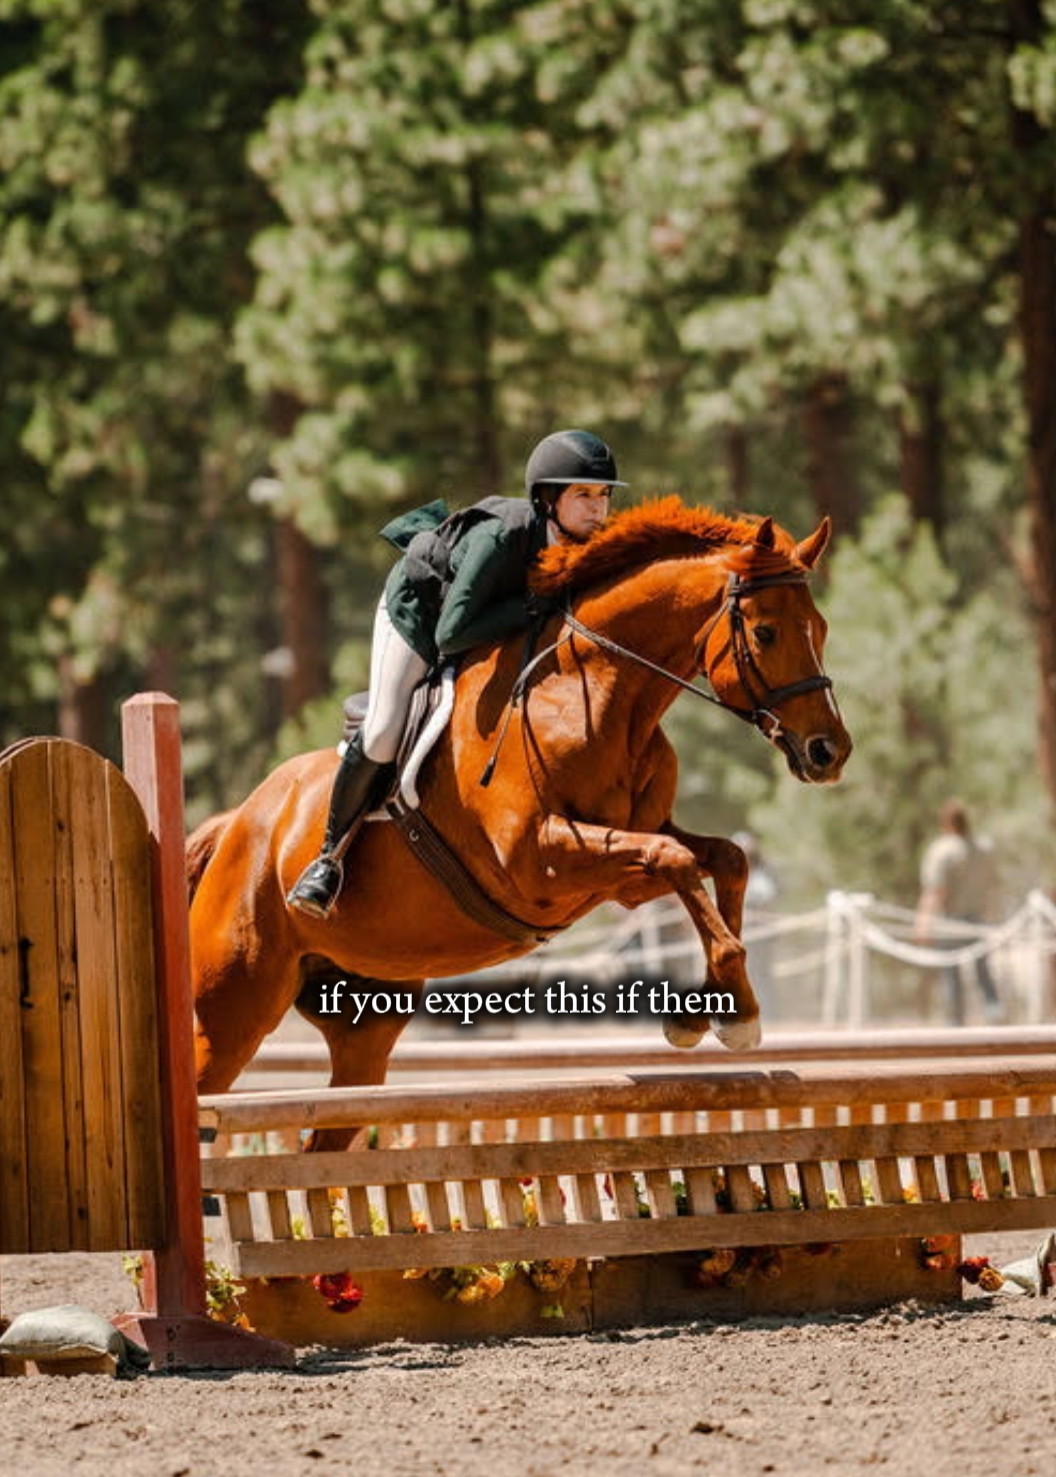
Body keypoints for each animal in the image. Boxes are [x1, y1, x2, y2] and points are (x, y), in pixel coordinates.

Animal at [188, 497, 851, 1147]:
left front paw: (715, 1011)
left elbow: (721, 860)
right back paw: (316, 883)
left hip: (364, 1022)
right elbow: (679, 860)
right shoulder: (540, 862)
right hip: (229, 1011)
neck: (596, 693)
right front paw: (731, 1014)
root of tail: (238, 824)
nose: (829, 752)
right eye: (765, 632)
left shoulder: (627, 867)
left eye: (820, 629)